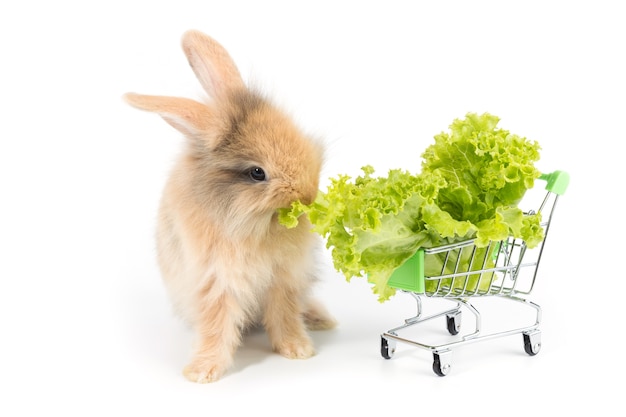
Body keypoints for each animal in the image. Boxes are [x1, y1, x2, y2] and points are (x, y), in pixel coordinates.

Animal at [123, 27, 336, 382]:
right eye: (257, 172)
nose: (307, 195)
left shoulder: (284, 281)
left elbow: (285, 316)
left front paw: (297, 351)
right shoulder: (217, 283)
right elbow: (216, 327)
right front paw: (201, 372)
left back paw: (323, 320)